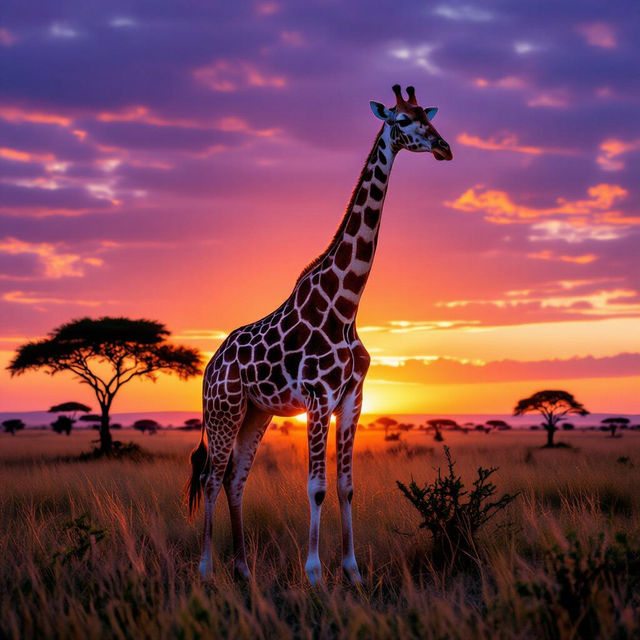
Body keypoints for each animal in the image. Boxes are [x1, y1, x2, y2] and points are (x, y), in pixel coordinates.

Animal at [186, 84, 453, 586]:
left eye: (426, 116)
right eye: (401, 121)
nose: (445, 148)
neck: (345, 305)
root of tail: (210, 367)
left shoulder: (352, 398)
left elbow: (346, 486)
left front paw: (352, 571)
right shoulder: (316, 397)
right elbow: (315, 487)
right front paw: (313, 574)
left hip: (256, 413)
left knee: (235, 479)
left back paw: (244, 569)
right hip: (224, 409)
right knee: (211, 478)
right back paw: (207, 569)